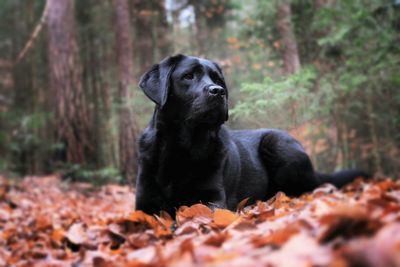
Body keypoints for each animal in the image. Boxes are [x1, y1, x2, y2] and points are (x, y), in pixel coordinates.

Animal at [135, 54, 366, 216]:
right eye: (188, 76)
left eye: (218, 79)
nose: (218, 91)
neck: (182, 148)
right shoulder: (144, 205)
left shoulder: (212, 198)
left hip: (277, 144)